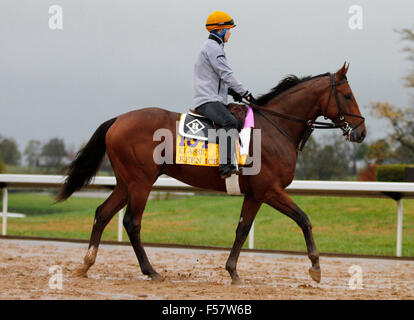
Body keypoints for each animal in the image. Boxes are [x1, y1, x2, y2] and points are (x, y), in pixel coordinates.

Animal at [57, 62, 366, 284]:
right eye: (347, 95)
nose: (361, 132)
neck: (275, 128)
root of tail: (118, 119)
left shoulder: (254, 194)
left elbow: (242, 229)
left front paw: (232, 271)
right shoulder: (269, 190)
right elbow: (304, 219)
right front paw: (315, 266)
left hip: (125, 183)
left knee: (103, 213)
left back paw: (86, 265)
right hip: (140, 183)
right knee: (132, 222)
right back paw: (150, 271)